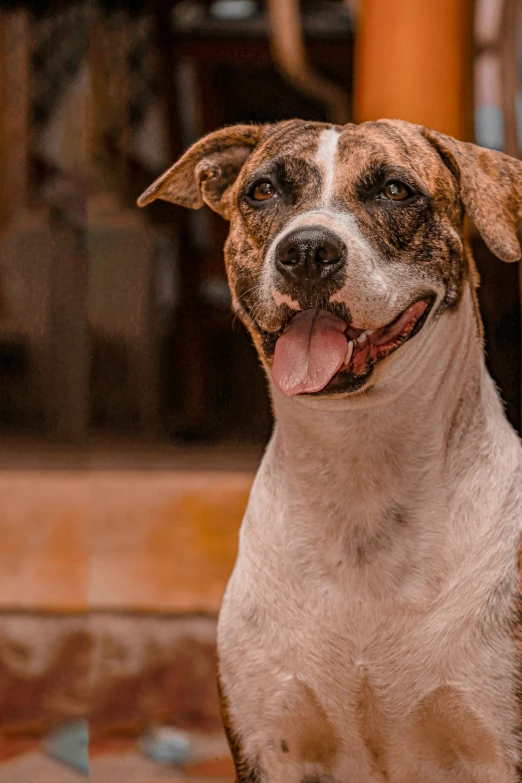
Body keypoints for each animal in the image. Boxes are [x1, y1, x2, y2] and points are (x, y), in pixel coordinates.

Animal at [138, 118, 520, 783]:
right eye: (263, 190)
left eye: (395, 190)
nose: (308, 251)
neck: (359, 461)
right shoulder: (271, 743)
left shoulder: (494, 741)